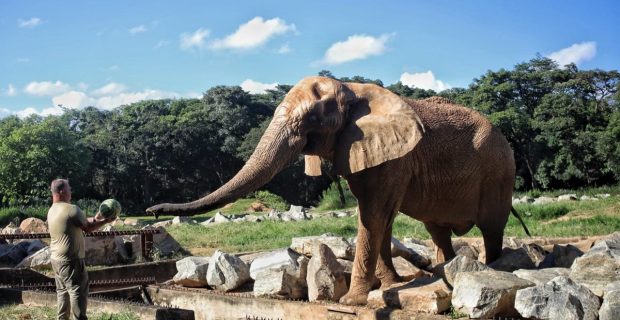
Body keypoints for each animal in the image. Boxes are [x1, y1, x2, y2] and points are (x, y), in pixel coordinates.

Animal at [145, 75, 528, 304]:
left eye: (312, 120)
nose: (152, 212)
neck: (354, 88)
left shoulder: (394, 157)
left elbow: (373, 215)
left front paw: (351, 301)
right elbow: (380, 218)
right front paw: (389, 285)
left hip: (499, 172)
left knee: (491, 227)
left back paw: (491, 269)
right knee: (437, 230)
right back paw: (443, 269)